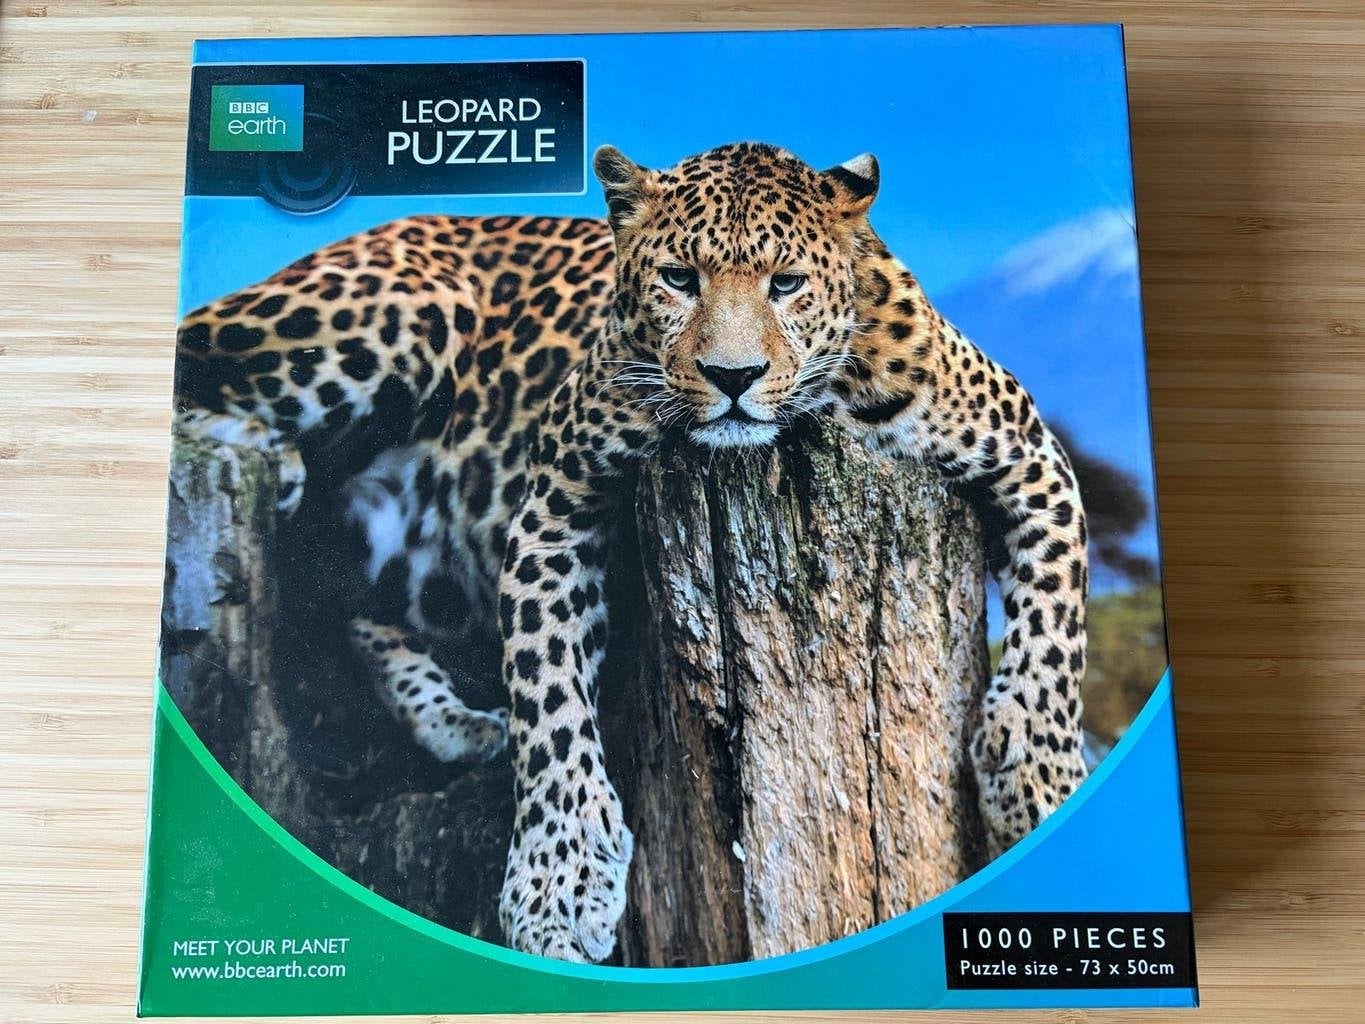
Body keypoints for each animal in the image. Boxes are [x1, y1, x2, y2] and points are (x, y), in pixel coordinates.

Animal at [172, 141, 1089, 966]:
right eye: (679, 279)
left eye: (785, 283)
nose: (731, 376)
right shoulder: (554, 502)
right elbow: (546, 690)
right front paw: (557, 880)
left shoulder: (1031, 455)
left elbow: (1057, 631)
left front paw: (1040, 781)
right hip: (394, 308)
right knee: (194, 359)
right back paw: (257, 450)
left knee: (349, 603)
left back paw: (457, 722)